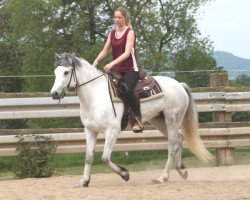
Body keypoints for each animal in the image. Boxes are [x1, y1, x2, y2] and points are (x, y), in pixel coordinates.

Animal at [49, 52, 212, 187]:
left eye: (66, 72)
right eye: (55, 72)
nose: (54, 93)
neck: (95, 96)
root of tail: (180, 85)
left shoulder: (112, 131)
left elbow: (105, 158)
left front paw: (125, 174)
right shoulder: (90, 131)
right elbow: (88, 157)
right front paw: (84, 181)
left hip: (172, 119)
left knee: (172, 144)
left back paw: (163, 177)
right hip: (159, 120)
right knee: (178, 139)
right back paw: (181, 170)